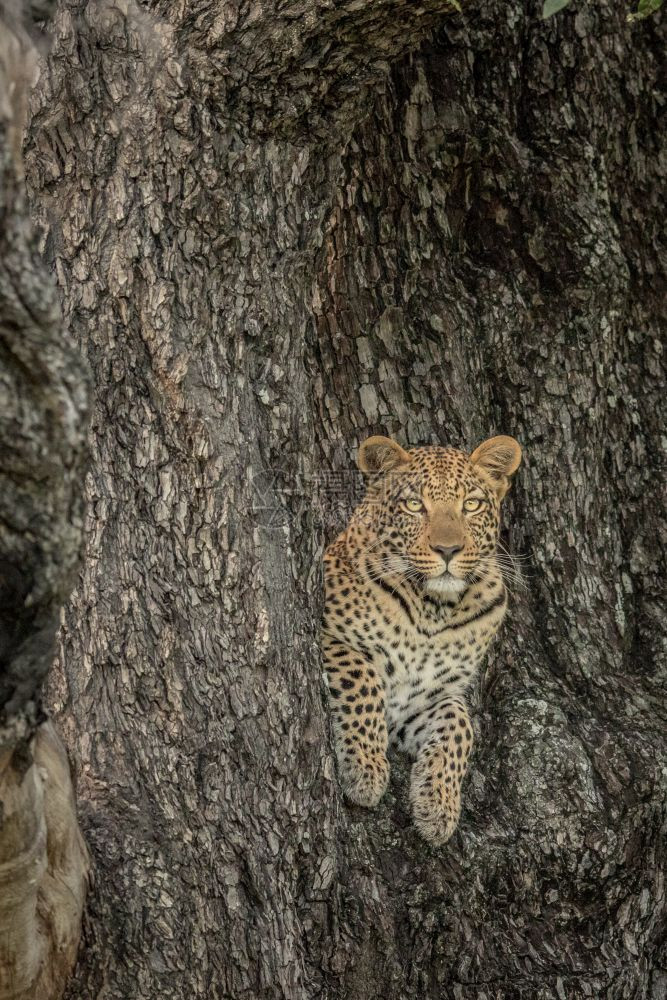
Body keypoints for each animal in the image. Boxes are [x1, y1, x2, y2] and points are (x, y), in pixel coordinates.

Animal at [322, 434, 520, 848]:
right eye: (415, 505)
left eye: (471, 505)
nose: (448, 550)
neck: (434, 610)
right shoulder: (330, 635)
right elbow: (364, 679)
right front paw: (365, 771)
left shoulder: (427, 698)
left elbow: (461, 727)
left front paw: (438, 807)